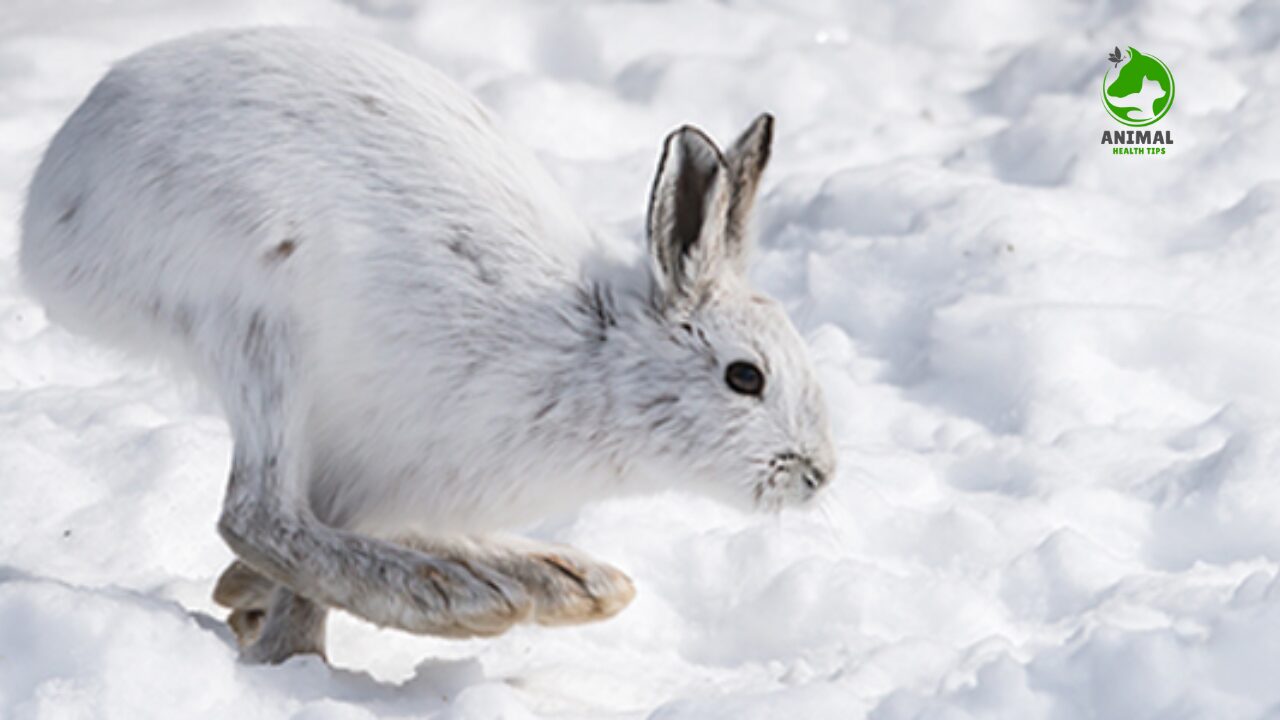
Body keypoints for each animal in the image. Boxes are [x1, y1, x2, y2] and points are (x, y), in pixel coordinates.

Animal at [20, 27, 836, 664]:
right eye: (745, 377)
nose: (818, 474)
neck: (596, 355)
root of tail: (52, 202)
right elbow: (288, 550)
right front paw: (295, 665)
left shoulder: (368, 483)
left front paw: (267, 628)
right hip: (258, 328)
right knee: (256, 514)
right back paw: (459, 596)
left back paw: (559, 578)